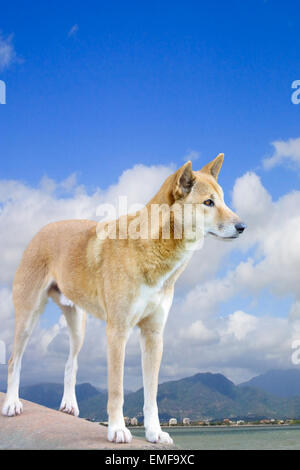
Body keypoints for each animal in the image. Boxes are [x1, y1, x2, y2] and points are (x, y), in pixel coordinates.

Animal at [1, 155, 246, 444]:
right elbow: (117, 390)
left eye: (224, 200)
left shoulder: (153, 335)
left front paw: (154, 432)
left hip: (77, 325)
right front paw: (117, 428)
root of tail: (42, 229)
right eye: (208, 202)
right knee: (14, 360)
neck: (154, 249)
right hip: (28, 316)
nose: (242, 226)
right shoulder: (118, 332)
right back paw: (12, 403)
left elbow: (151, 394)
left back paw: (69, 404)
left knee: (71, 363)